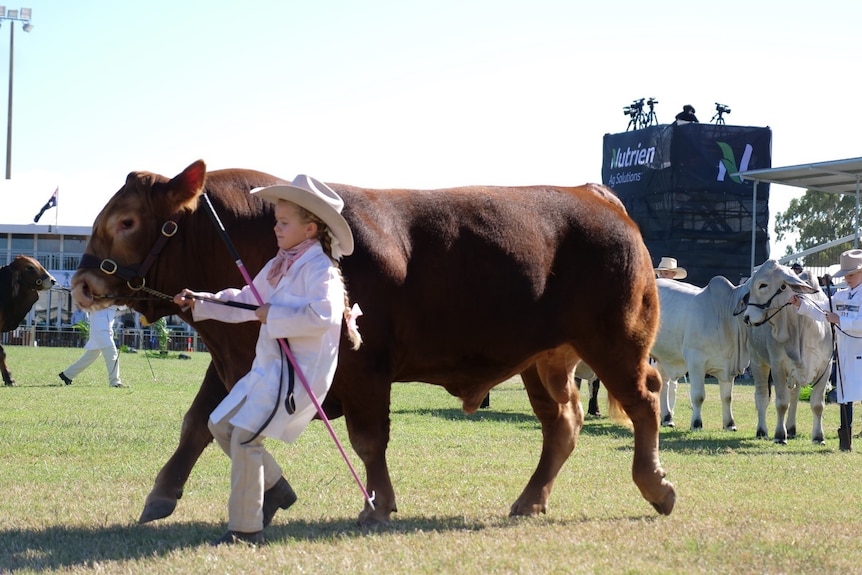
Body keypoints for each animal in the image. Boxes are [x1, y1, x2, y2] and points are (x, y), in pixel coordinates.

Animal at [71, 160, 680, 524]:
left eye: (127, 221)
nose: (80, 283)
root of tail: (596, 195)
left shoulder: (363, 369)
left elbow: (368, 440)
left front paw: (377, 504)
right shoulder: (237, 357)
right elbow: (199, 425)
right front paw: (168, 493)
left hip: (616, 343)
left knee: (645, 400)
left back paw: (654, 485)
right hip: (546, 360)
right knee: (562, 425)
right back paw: (530, 501)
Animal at [652, 276, 752, 430]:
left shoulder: (728, 366)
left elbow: (727, 397)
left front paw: (730, 424)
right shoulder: (695, 362)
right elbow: (698, 396)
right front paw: (696, 423)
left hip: (664, 356)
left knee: (664, 383)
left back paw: (667, 418)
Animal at [744, 260, 832, 446]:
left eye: (763, 285)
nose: (746, 317)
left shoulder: (826, 367)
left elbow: (817, 404)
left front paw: (818, 437)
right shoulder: (778, 365)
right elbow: (781, 403)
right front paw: (779, 435)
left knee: (794, 396)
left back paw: (791, 428)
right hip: (757, 362)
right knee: (762, 396)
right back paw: (762, 431)